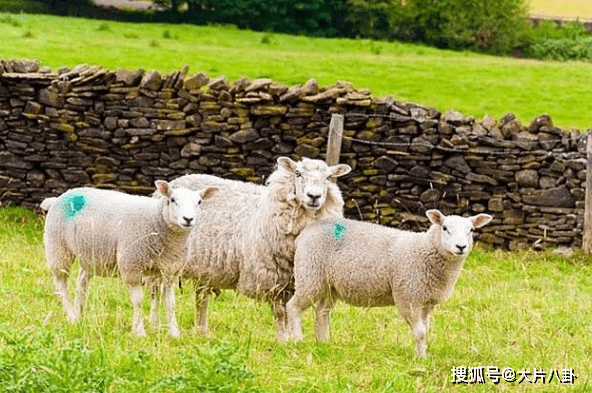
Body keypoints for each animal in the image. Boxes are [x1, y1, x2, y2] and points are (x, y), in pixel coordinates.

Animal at [43, 179, 220, 336]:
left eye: (199, 202)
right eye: (172, 200)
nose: (188, 219)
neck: (157, 220)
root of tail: (58, 198)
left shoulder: (171, 270)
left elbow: (170, 303)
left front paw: (175, 333)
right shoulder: (132, 266)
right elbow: (138, 301)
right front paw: (139, 331)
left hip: (91, 254)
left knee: (81, 282)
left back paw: (78, 314)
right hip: (58, 247)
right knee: (61, 284)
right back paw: (70, 314)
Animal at [157, 156, 352, 340]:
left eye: (329, 177)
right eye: (297, 173)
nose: (314, 196)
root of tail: (180, 179)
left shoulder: (293, 280)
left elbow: (291, 310)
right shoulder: (272, 278)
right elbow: (280, 313)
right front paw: (284, 340)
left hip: (205, 269)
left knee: (201, 299)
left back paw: (202, 331)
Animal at [284, 210, 492, 356]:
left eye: (471, 230)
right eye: (445, 228)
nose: (461, 247)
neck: (425, 250)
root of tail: (307, 231)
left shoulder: (426, 302)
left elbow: (425, 330)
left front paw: (423, 354)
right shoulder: (408, 296)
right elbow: (419, 332)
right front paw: (420, 358)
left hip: (330, 285)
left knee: (322, 312)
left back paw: (324, 343)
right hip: (309, 274)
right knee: (293, 306)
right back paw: (298, 340)